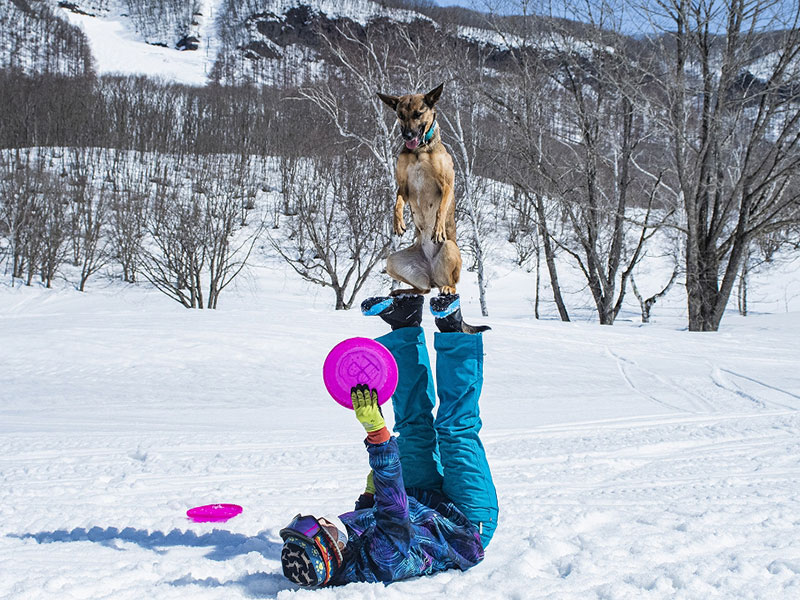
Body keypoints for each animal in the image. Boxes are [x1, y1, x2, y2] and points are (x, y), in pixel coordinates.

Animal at [376, 83, 462, 298]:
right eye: (400, 114)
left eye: (418, 114)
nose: (407, 135)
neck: (419, 151)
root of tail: (432, 275)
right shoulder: (403, 187)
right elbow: (397, 204)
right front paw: (398, 222)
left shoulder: (447, 185)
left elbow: (441, 209)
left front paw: (438, 229)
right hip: (392, 261)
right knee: (423, 289)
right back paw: (403, 291)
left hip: (449, 248)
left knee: (451, 284)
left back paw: (448, 287)